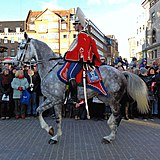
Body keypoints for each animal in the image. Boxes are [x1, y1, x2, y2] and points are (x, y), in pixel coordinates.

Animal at [15, 37, 149, 144]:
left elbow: (54, 116)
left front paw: (53, 134)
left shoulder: (56, 100)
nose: (15, 63)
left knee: (118, 114)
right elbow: (42, 112)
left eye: (22, 47)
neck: (50, 68)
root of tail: (122, 73)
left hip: (112, 99)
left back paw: (110, 137)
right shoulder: (52, 99)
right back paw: (110, 125)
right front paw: (52, 132)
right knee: (116, 114)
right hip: (104, 97)